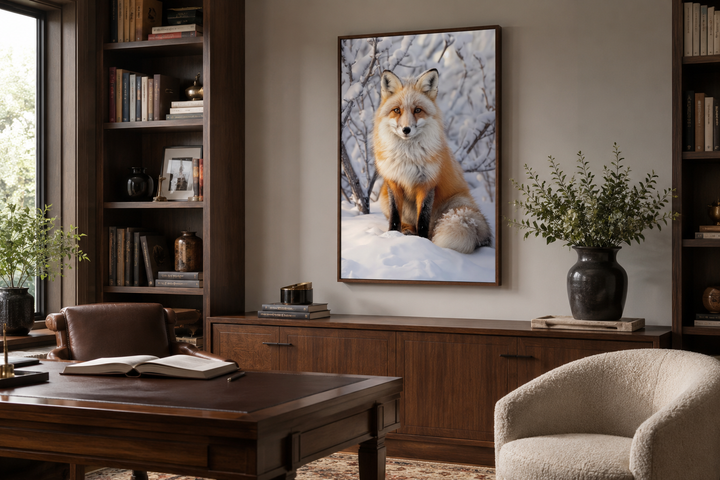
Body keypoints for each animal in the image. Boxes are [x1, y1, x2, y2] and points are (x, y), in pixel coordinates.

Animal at [373, 68, 491, 254]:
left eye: (417, 110)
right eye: (396, 110)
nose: (406, 129)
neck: (407, 156)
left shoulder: (427, 183)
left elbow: (423, 219)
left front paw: (423, 244)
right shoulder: (393, 182)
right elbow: (394, 217)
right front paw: (391, 236)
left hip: (454, 206)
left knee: (431, 226)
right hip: (384, 197)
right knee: (407, 223)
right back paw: (406, 230)